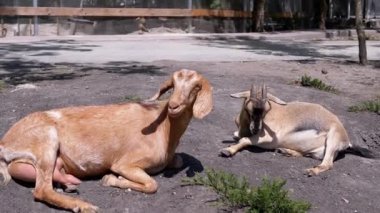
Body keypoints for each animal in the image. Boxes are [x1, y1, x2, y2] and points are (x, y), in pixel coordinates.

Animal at [0, 69, 214, 211]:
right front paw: (111, 179)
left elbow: (178, 160)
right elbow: (152, 185)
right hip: (46, 140)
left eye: (196, 87)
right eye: (173, 86)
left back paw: (69, 184)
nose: (174, 106)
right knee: (41, 190)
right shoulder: (125, 163)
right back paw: (84, 206)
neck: (164, 129)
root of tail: (5, 143)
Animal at [221, 84, 376, 176]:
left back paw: (311, 171)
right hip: (317, 152)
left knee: (327, 164)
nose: (255, 129)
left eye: (265, 110)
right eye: (248, 109)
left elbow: (244, 139)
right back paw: (286, 151)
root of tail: (347, 141)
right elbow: (237, 136)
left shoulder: (267, 138)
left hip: (332, 140)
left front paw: (227, 151)